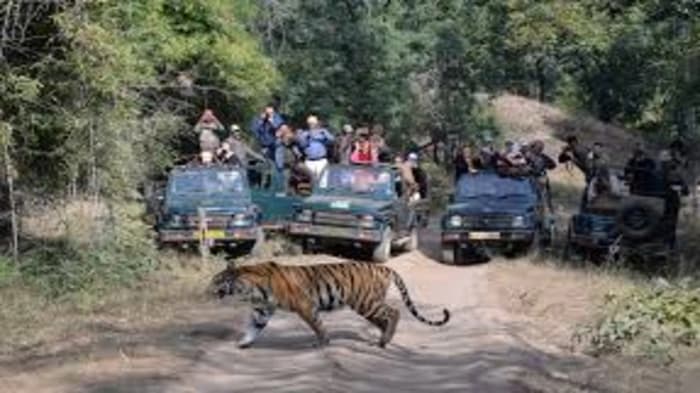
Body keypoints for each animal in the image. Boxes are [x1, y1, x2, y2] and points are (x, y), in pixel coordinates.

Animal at [208, 262, 452, 348]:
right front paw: (243, 343)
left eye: (216, 281)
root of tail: (384, 267)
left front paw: (323, 343)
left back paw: (384, 341)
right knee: (384, 318)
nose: (206, 290)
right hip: (368, 304)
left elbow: (317, 325)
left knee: (394, 312)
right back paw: (383, 339)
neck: (251, 290)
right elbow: (253, 327)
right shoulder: (262, 310)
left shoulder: (305, 306)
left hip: (366, 302)